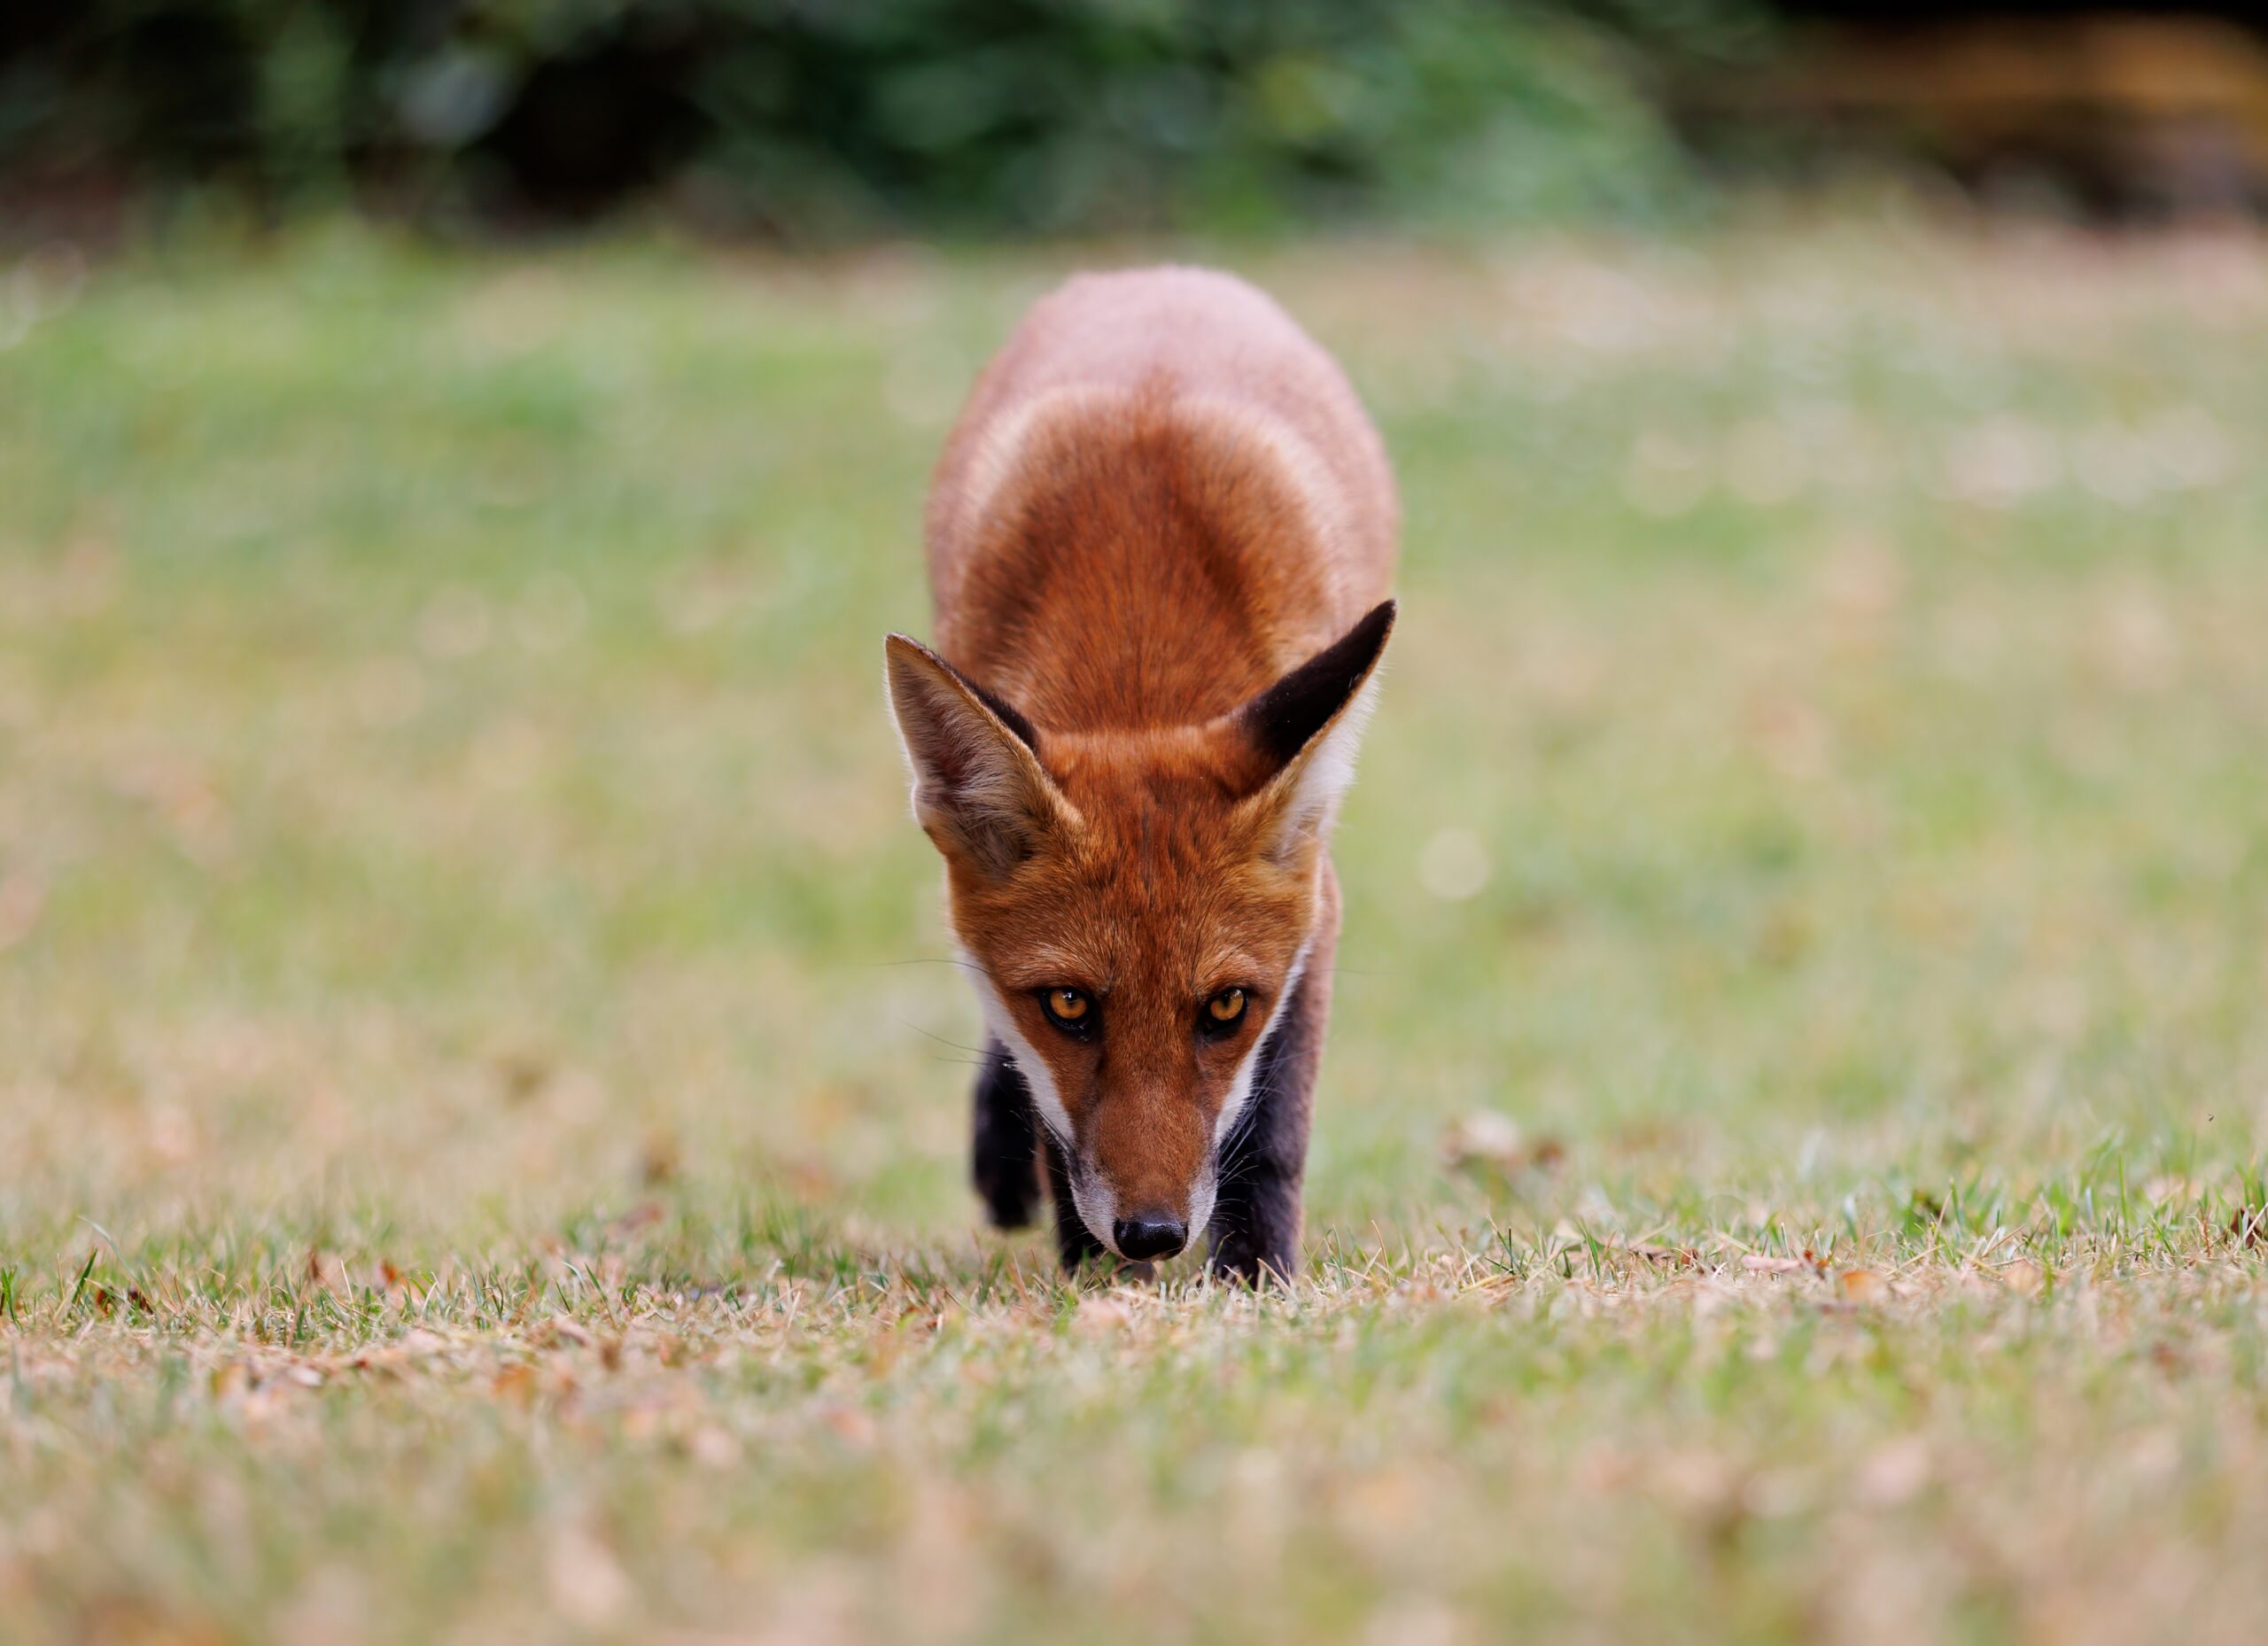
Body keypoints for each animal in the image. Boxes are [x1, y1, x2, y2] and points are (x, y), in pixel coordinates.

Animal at [884, 266, 1396, 1282]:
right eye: (1069, 1005)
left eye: (1228, 1007)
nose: (1152, 1234)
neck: (1140, 651)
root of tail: (1162, 275)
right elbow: (1045, 1110)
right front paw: (1096, 1281)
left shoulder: (1316, 900)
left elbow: (1273, 1131)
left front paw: (1256, 1281)